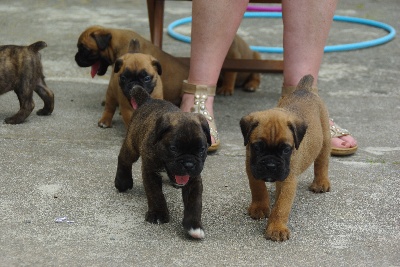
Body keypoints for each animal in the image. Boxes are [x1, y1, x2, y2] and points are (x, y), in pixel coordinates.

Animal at [114, 84, 211, 241]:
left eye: (202, 149)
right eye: (173, 149)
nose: (189, 164)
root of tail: (148, 100)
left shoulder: (194, 181)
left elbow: (194, 203)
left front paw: (194, 226)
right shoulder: (150, 172)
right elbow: (156, 194)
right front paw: (158, 214)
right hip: (132, 145)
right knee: (124, 159)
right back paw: (122, 181)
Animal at [239, 75, 330, 243]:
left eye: (286, 149)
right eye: (257, 147)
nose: (270, 165)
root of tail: (304, 89)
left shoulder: (289, 180)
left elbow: (282, 206)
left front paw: (276, 228)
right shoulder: (252, 168)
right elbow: (258, 188)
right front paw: (260, 207)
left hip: (325, 140)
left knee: (322, 162)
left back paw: (321, 182)